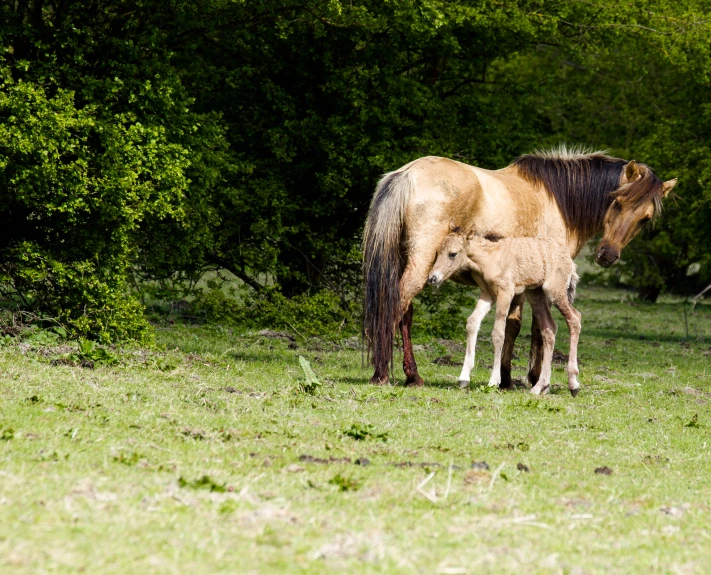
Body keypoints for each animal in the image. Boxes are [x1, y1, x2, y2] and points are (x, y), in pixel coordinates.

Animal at [428, 230, 584, 396]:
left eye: (453, 254)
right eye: (437, 252)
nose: (432, 278)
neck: (489, 258)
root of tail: (570, 261)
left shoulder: (505, 293)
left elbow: (498, 334)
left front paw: (494, 381)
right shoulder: (487, 294)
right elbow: (472, 322)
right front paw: (463, 378)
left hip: (554, 291)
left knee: (575, 318)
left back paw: (573, 384)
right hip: (535, 293)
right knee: (549, 328)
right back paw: (539, 387)